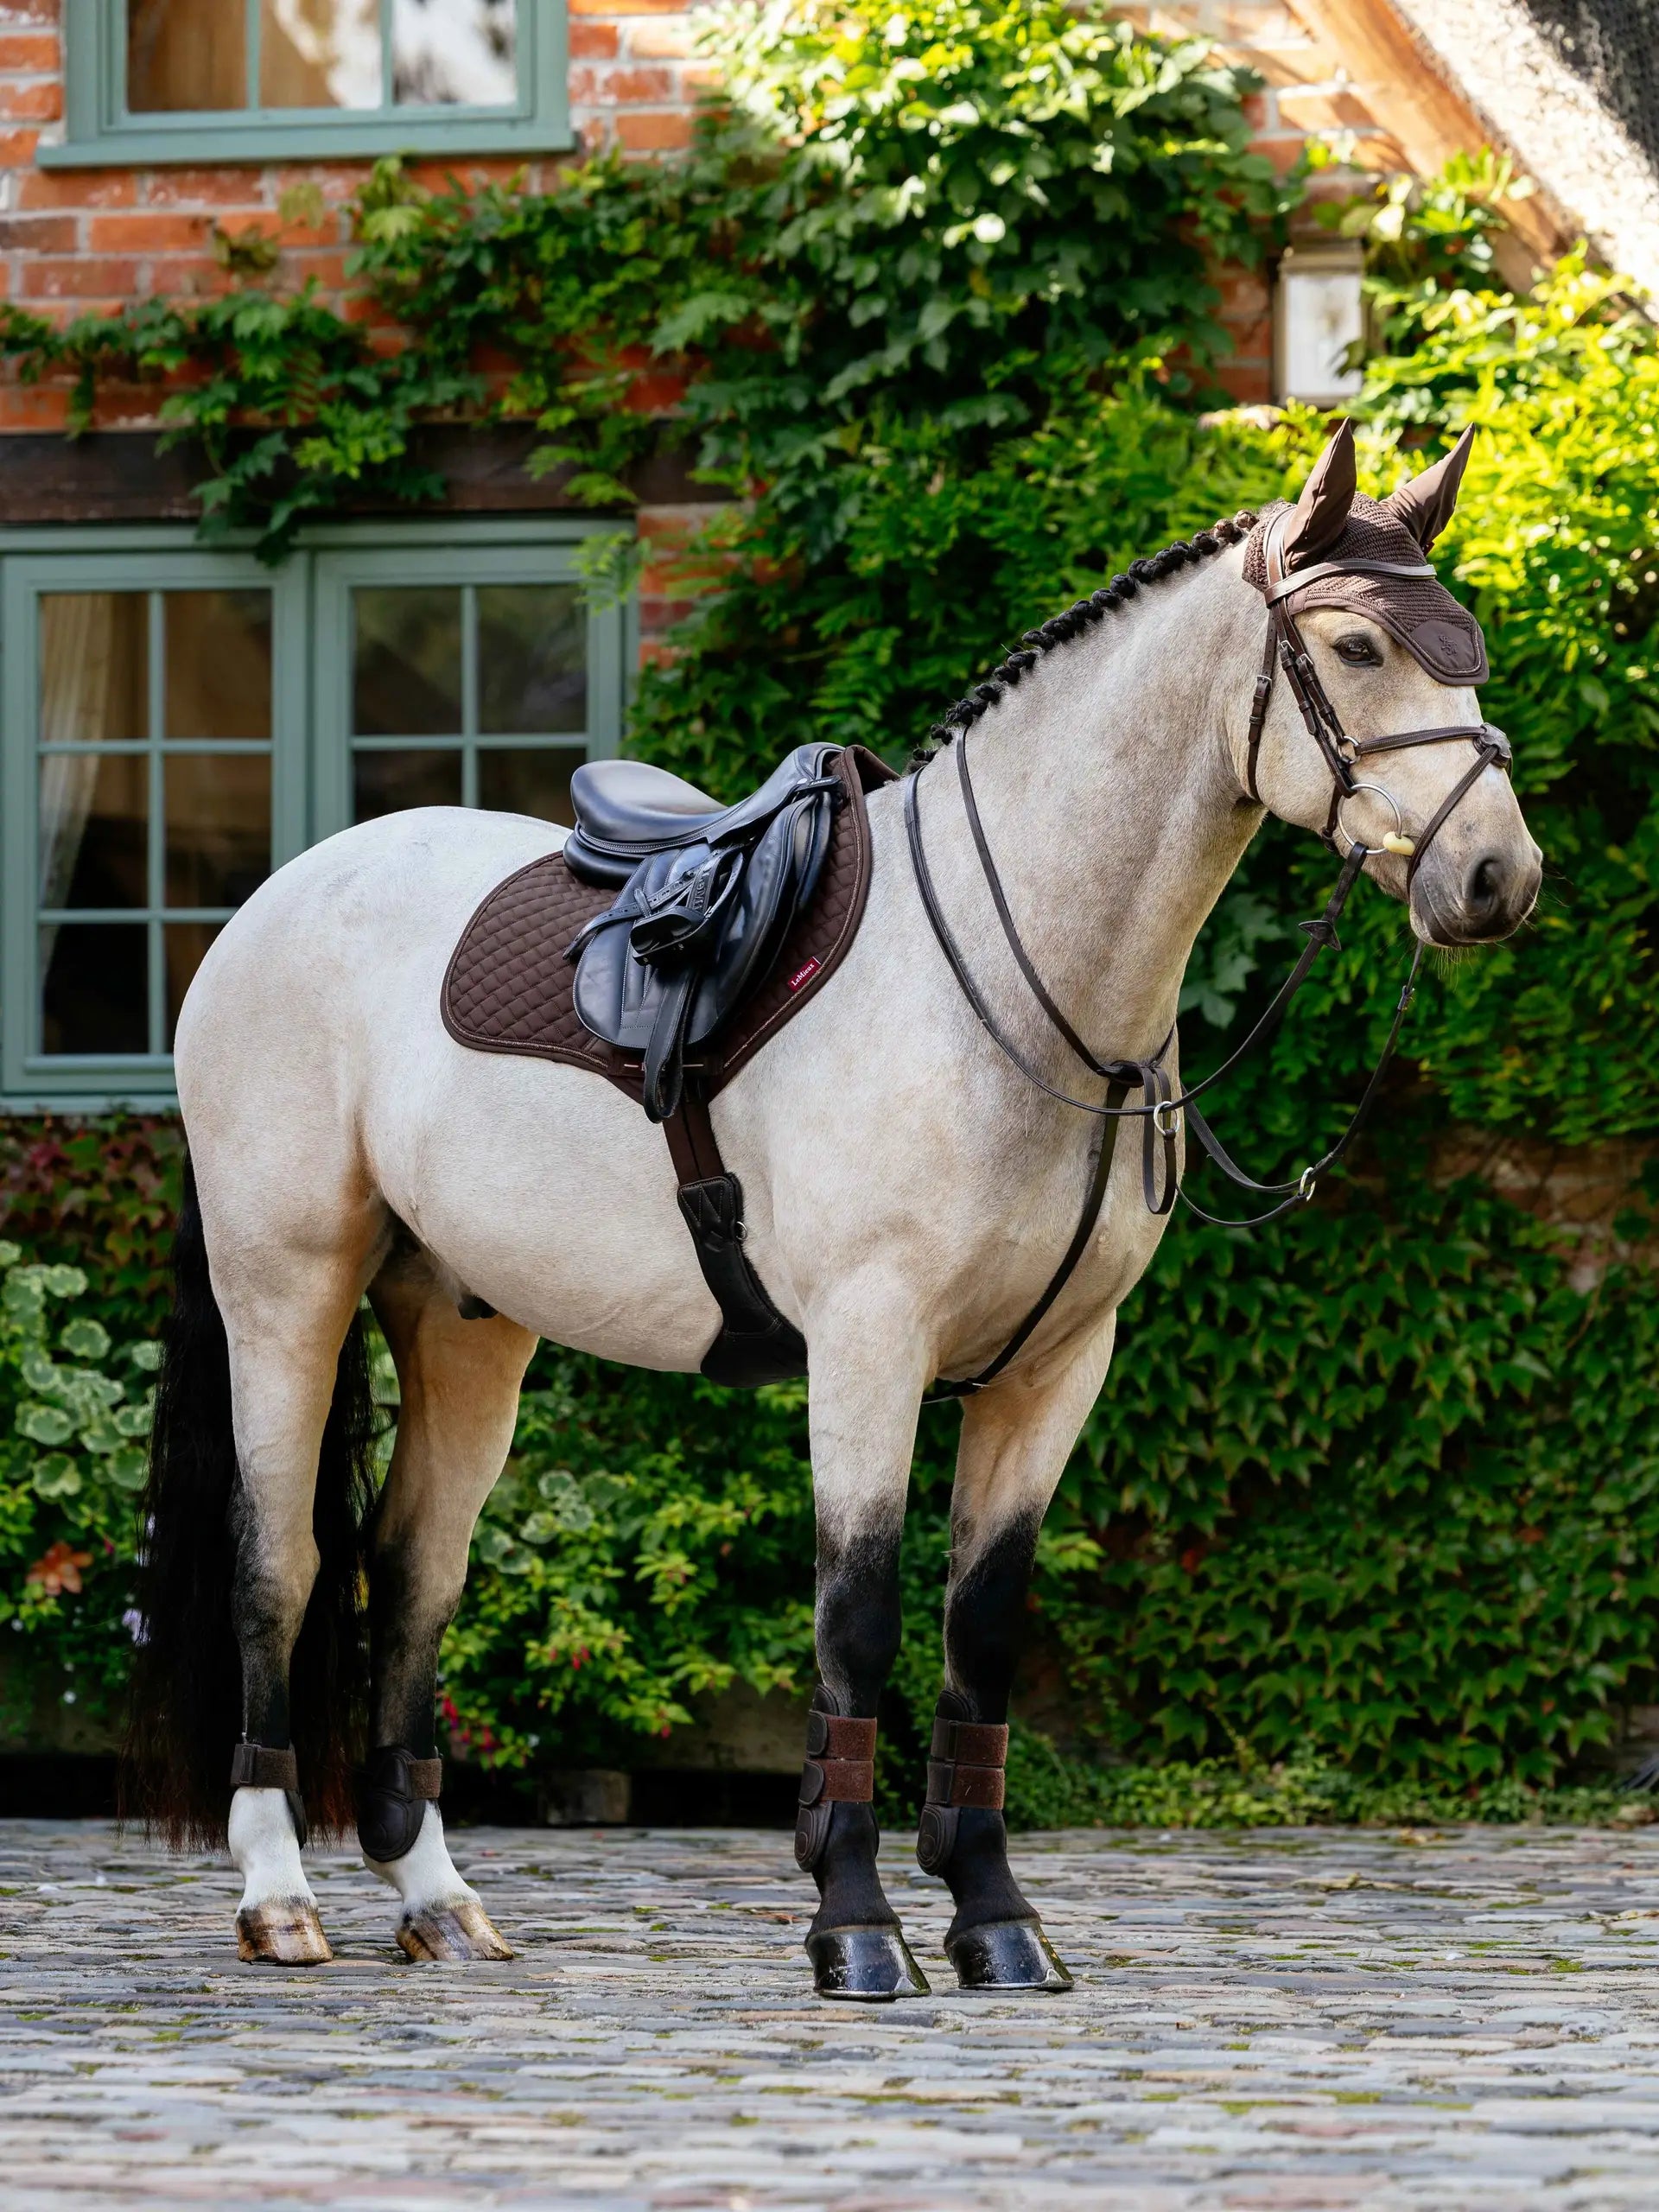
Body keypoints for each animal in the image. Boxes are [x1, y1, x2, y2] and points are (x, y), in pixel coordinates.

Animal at [129, 421, 1540, 1998]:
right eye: (1356, 645)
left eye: (1468, 651)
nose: (1498, 877)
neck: (1016, 976)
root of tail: (268, 908)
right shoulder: (868, 1349)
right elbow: (857, 1620)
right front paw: (856, 1924)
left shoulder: (1055, 1372)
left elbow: (979, 1632)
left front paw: (996, 1921)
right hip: (288, 1293)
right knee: (281, 1566)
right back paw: (278, 1899)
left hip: (465, 1326)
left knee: (412, 1567)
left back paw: (434, 1899)